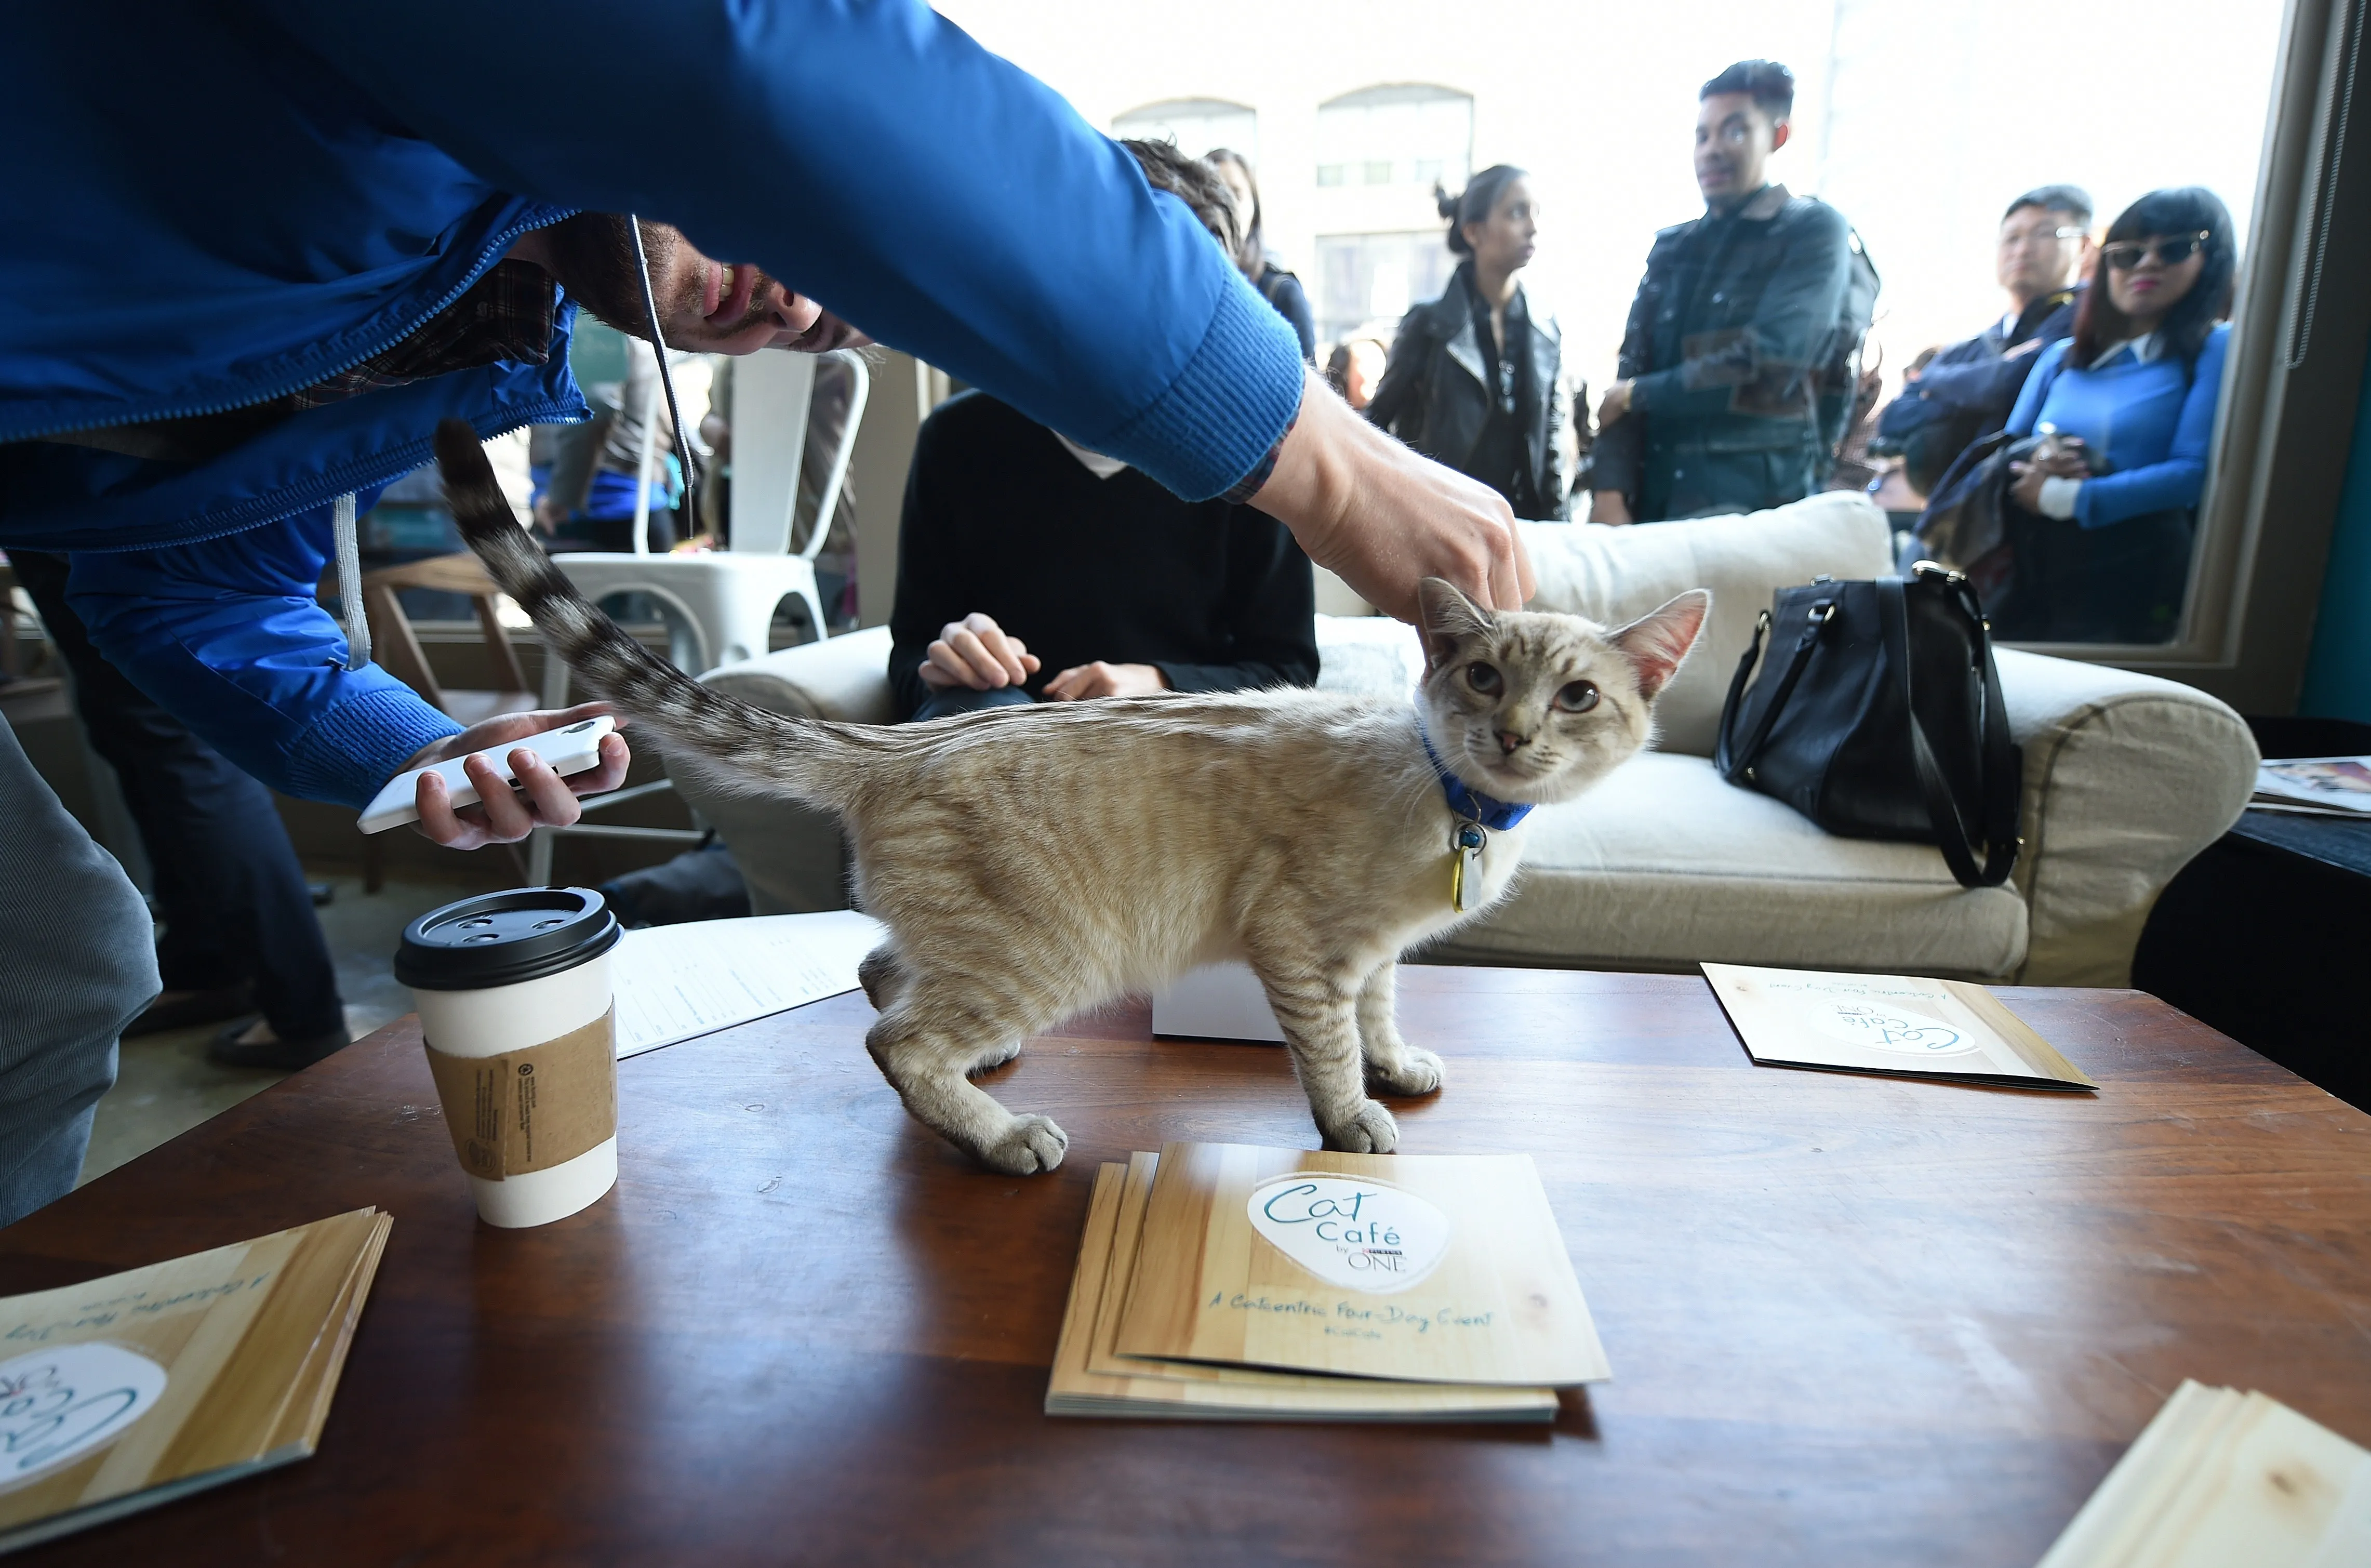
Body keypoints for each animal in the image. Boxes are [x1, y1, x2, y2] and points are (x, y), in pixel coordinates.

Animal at [436, 420, 1707, 1176]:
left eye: (1577, 695)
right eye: (1484, 675)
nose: (1514, 733)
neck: (1458, 811)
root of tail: (892, 745)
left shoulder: (1377, 954)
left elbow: (1383, 1018)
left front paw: (1398, 1064)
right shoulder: (1305, 946)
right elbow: (1330, 1051)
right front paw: (1353, 1120)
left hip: (981, 947)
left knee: (882, 973)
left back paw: (983, 1079)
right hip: (1052, 954)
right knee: (895, 1036)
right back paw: (1002, 1138)